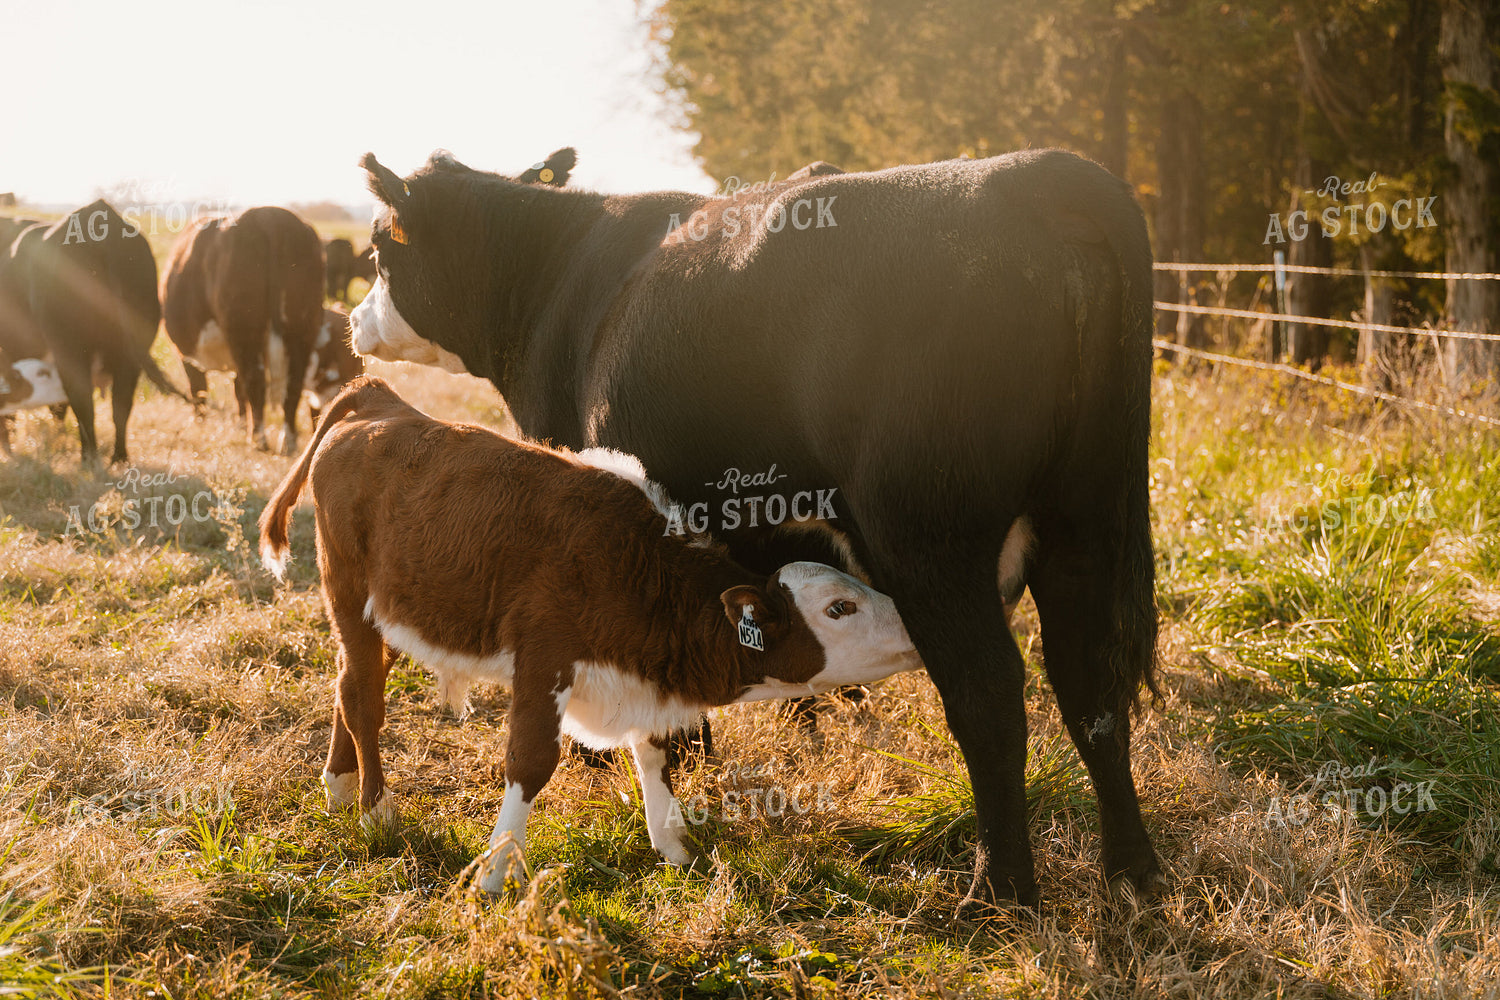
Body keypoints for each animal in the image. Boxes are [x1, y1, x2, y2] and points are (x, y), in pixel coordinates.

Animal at [0, 201, 184, 463]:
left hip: (71, 350)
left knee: (83, 401)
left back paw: (88, 457)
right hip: (129, 354)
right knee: (121, 405)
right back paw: (119, 458)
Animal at [161, 206, 325, 454]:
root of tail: (270, 215)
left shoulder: (186, 354)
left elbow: (199, 389)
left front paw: (200, 424)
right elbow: (238, 390)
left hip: (244, 330)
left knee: (255, 381)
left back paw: (257, 439)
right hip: (303, 328)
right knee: (292, 385)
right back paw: (288, 441)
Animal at [257, 375, 920, 892]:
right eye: (839, 608)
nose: (913, 626)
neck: (637, 570)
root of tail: (382, 399)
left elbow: (654, 753)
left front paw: (673, 846)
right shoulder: (543, 658)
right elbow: (531, 762)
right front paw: (495, 871)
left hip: (392, 609)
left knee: (351, 681)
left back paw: (340, 784)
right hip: (347, 593)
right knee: (362, 696)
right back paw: (376, 811)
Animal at [346, 146, 1164, 913]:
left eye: (381, 250)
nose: (354, 322)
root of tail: (1036, 173)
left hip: (930, 540)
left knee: (987, 692)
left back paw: (1000, 889)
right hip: (1085, 525)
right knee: (1091, 686)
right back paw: (1133, 874)